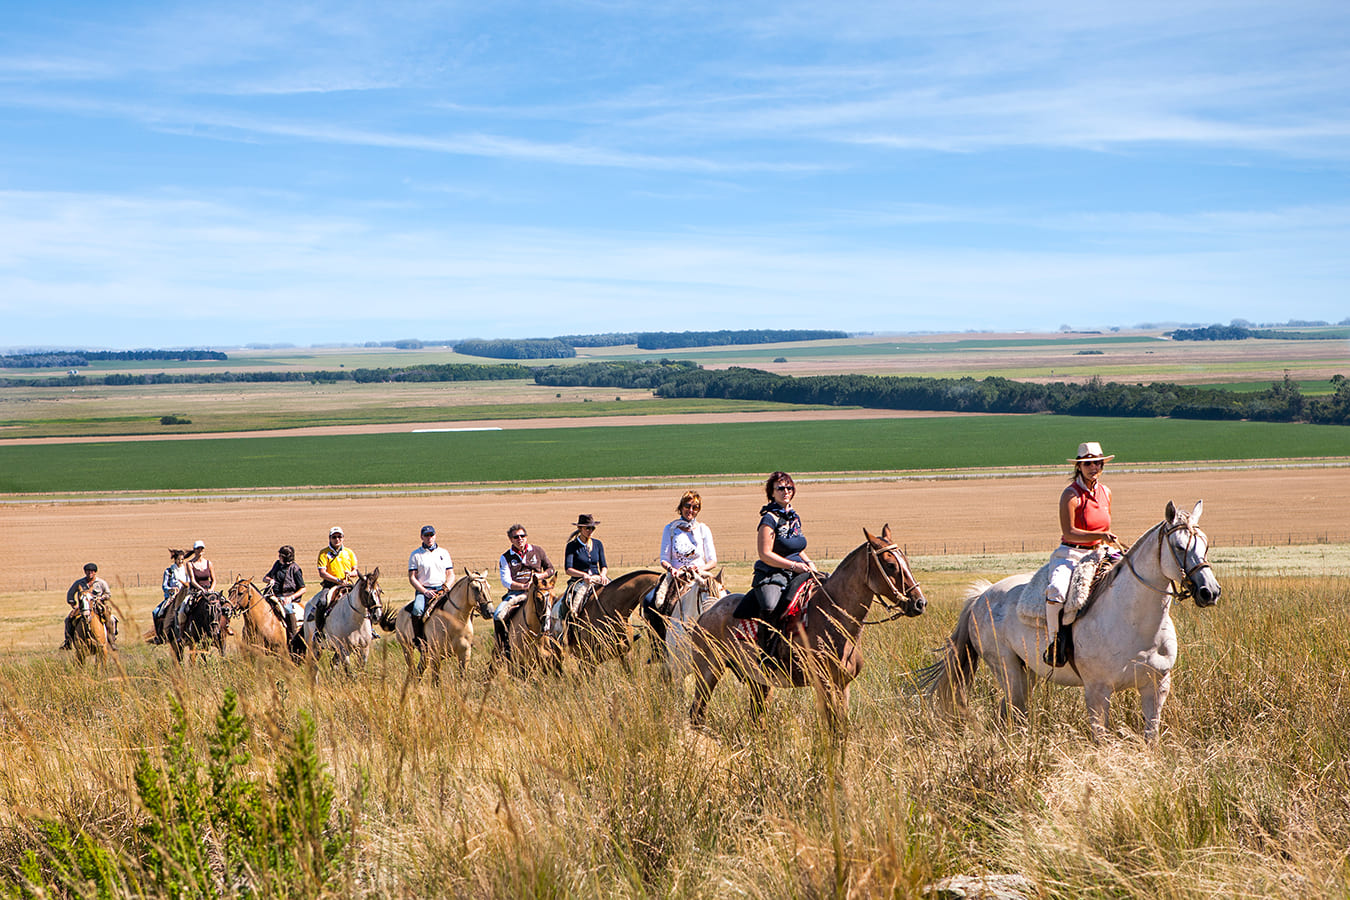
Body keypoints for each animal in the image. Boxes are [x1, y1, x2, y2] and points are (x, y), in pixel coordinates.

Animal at [685, 528, 928, 734]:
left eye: (906, 561)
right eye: (890, 565)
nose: (919, 603)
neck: (832, 617)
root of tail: (709, 610)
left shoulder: (843, 685)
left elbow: (841, 727)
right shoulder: (825, 685)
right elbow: (833, 728)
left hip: (758, 682)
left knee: (756, 717)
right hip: (708, 672)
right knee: (697, 713)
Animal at [923, 499, 1220, 744]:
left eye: (1205, 544)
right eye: (1179, 546)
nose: (1210, 591)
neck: (1135, 624)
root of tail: (981, 595)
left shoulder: (1157, 687)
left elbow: (1151, 737)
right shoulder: (1097, 691)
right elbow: (1101, 740)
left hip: (1027, 672)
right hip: (1008, 671)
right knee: (1013, 712)